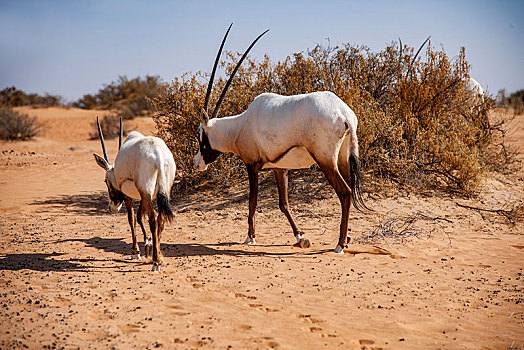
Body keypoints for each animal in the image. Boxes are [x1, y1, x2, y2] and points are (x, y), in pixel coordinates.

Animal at [93, 117, 176, 270]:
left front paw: (136, 252)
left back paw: (155, 263)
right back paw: (158, 257)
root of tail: (158, 155)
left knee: (153, 218)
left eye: (106, 180)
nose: (112, 207)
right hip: (162, 189)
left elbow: (131, 218)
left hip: (145, 190)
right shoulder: (143, 195)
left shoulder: (129, 196)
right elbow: (139, 216)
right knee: (160, 218)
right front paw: (148, 244)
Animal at [192, 25, 368, 254]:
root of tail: (345, 114)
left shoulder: (251, 165)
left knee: (345, 192)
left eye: (200, 135)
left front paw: (250, 237)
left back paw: (339, 244)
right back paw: (346, 237)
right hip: (342, 159)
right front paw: (300, 236)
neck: (240, 126)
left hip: (326, 160)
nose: (196, 163)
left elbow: (253, 201)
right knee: (349, 188)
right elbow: (283, 203)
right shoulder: (280, 168)